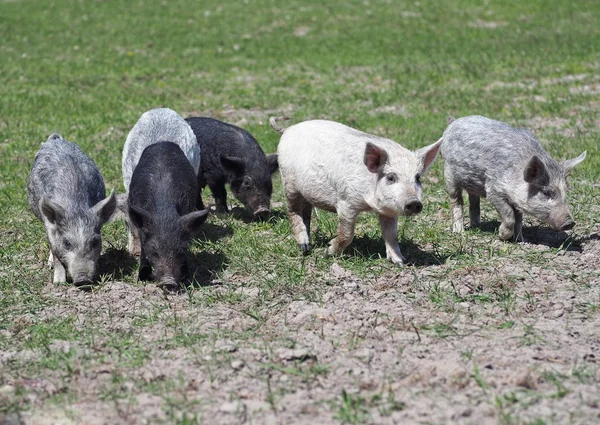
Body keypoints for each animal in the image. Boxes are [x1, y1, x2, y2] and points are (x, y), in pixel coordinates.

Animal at [27, 132, 116, 284]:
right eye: (67, 243)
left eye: (95, 242)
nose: (83, 279)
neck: (76, 206)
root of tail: (56, 139)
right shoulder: (50, 224)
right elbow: (55, 250)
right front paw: (58, 283)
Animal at [127, 142, 210, 284]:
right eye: (154, 251)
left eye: (181, 250)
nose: (169, 281)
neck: (165, 213)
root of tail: (162, 143)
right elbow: (143, 249)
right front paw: (142, 279)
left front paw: (187, 281)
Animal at [272, 116, 440, 262]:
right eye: (391, 177)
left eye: (417, 177)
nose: (414, 202)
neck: (369, 204)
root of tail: (288, 129)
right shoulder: (346, 202)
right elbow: (347, 233)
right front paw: (328, 251)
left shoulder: (389, 210)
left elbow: (391, 234)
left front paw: (400, 261)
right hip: (288, 182)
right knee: (293, 211)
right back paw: (304, 247)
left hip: (306, 192)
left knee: (306, 212)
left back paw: (308, 245)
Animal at [440, 116, 584, 240]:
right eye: (546, 192)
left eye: (566, 191)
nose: (570, 222)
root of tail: (453, 122)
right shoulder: (493, 189)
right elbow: (509, 215)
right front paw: (502, 236)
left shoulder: (517, 200)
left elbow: (519, 219)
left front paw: (520, 240)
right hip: (448, 173)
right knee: (456, 201)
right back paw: (459, 232)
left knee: (474, 201)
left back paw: (477, 226)